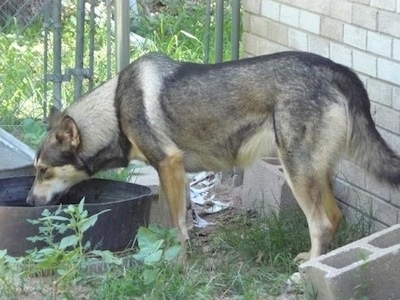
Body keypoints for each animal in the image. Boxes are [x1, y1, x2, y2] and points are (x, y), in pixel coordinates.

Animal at [27, 52, 400, 262]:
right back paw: (313, 260)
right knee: (334, 218)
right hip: (313, 172)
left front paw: (177, 263)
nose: (28, 202)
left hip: (296, 170)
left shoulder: (169, 165)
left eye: (44, 171)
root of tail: (338, 69)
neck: (116, 110)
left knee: (320, 223)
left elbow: (178, 227)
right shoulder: (178, 174)